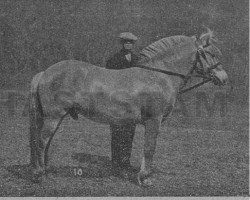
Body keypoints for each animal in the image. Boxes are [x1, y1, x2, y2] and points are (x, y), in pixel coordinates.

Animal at [27, 29, 229, 186]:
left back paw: (45, 170)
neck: (159, 76)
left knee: (46, 142)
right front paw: (145, 179)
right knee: (41, 141)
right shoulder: (154, 120)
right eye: (210, 54)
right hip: (53, 117)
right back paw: (39, 175)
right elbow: (149, 148)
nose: (223, 78)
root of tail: (45, 73)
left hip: (55, 118)